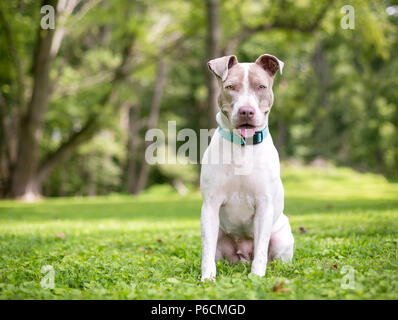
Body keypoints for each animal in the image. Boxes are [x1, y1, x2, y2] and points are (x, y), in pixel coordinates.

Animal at [201, 53, 294, 282]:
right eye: (230, 87)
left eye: (260, 86)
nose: (246, 111)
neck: (243, 147)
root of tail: (242, 255)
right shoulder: (210, 206)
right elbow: (206, 250)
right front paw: (207, 278)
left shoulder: (264, 206)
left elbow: (260, 249)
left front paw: (257, 277)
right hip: (221, 236)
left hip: (281, 236)